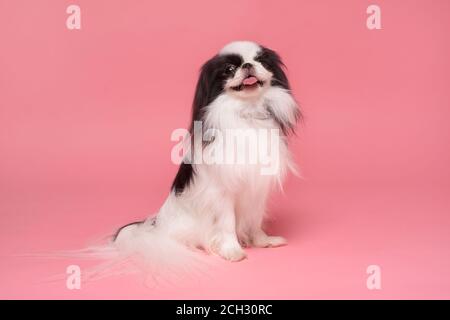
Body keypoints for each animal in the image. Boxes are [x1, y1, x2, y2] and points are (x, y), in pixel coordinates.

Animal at [110, 40, 298, 268]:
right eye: (229, 69)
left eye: (260, 61)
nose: (247, 65)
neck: (248, 112)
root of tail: (156, 226)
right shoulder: (223, 192)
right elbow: (227, 224)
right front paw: (232, 250)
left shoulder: (257, 189)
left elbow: (255, 220)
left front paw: (262, 241)